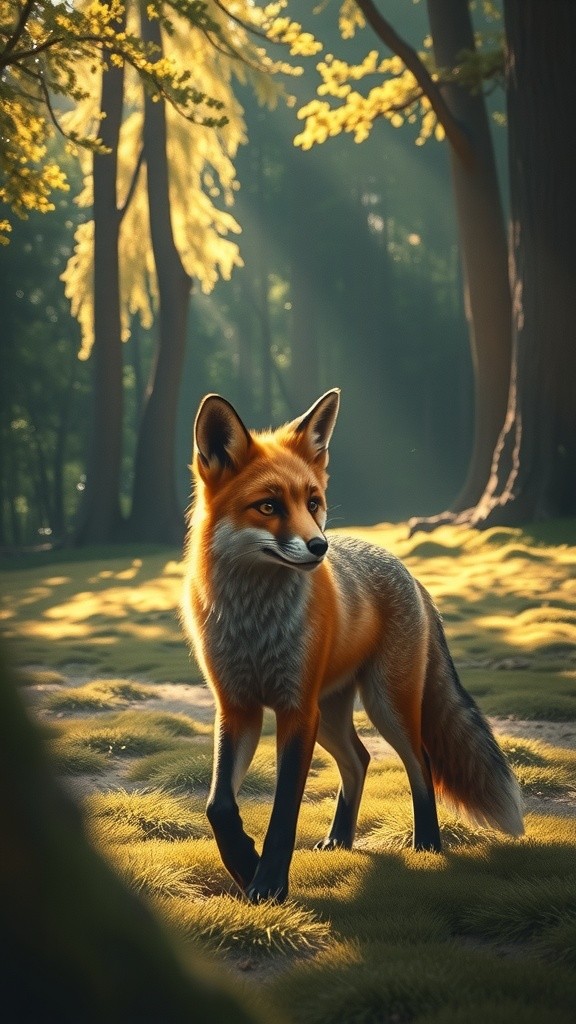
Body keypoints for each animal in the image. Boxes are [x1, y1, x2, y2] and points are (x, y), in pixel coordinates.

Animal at [181, 389, 524, 904]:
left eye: (313, 502)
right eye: (268, 506)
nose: (320, 547)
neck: (254, 625)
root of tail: (409, 573)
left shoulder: (295, 709)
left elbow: (283, 813)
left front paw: (269, 883)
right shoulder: (237, 707)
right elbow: (218, 805)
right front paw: (244, 866)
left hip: (385, 704)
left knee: (420, 761)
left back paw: (428, 842)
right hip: (330, 715)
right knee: (359, 760)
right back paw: (340, 838)